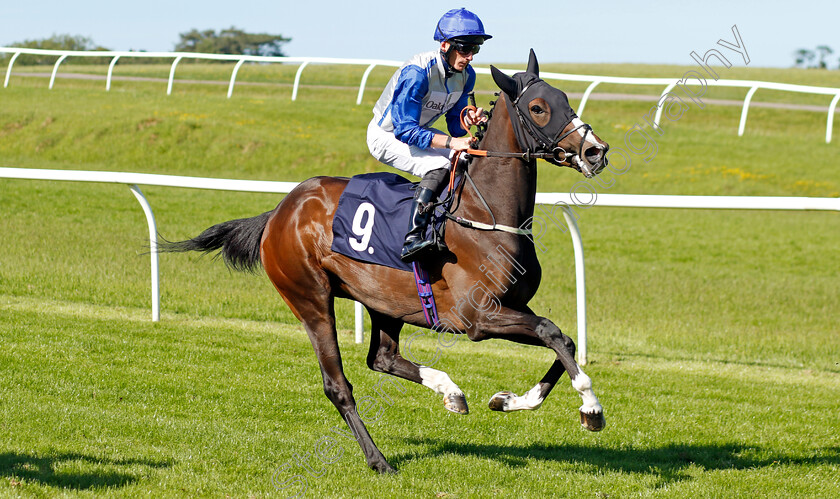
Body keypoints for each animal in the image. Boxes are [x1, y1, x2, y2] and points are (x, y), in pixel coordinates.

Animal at [161, 50, 612, 476]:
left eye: (566, 99)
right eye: (538, 107)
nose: (596, 151)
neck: (486, 214)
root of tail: (279, 212)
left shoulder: (512, 305)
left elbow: (564, 340)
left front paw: (508, 400)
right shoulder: (480, 318)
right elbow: (552, 333)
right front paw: (591, 409)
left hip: (385, 302)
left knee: (382, 358)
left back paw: (451, 392)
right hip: (310, 299)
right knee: (338, 385)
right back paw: (379, 460)